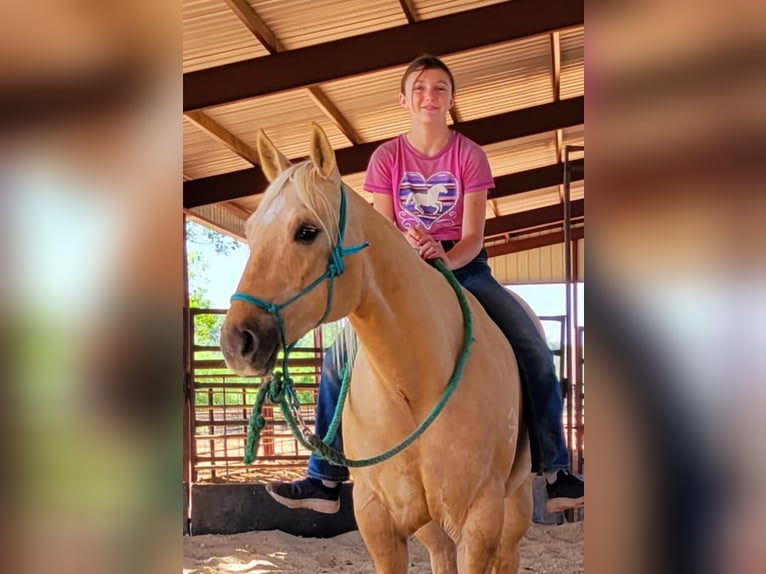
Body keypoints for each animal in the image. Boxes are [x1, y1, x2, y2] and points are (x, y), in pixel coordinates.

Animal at [222, 124, 536, 572]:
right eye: (249, 232)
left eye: (306, 231)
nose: (237, 342)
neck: (414, 385)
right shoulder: (377, 521)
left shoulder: (480, 522)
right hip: (432, 528)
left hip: (515, 508)